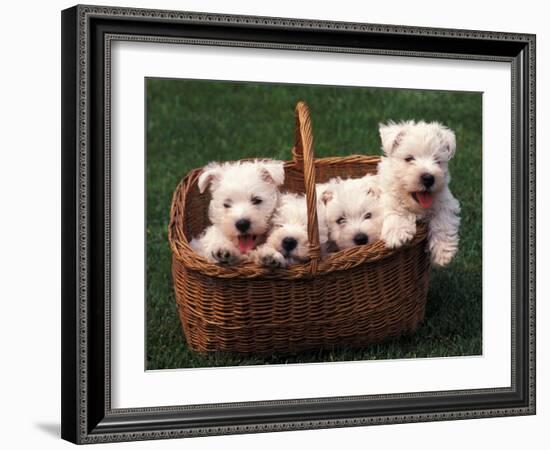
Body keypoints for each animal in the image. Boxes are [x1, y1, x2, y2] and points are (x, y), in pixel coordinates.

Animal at [380, 120, 462, 268]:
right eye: (409, 158)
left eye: (437, 160)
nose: (428, 178)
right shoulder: (388, 196)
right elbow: (396, 209)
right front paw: (397, 234)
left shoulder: (445, 201)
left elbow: (443, 221)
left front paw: (443, 253)